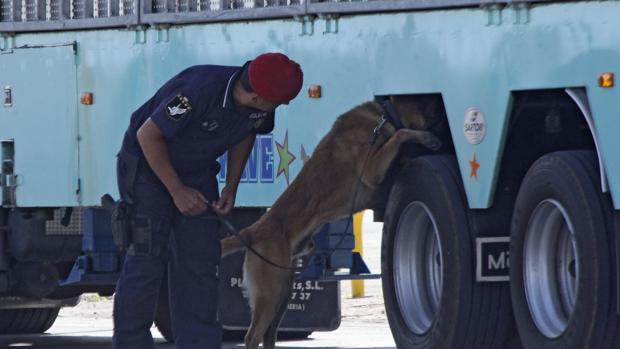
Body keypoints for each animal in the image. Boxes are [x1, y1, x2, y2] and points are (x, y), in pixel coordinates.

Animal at [220, 96, 438, 348]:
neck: (384, 114)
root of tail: (253, 231)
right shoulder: (372, 169)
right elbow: (401, 134)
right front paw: (427, 138)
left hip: (284, 291)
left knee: (268, 334)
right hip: (271, 293)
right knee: (252, 336)